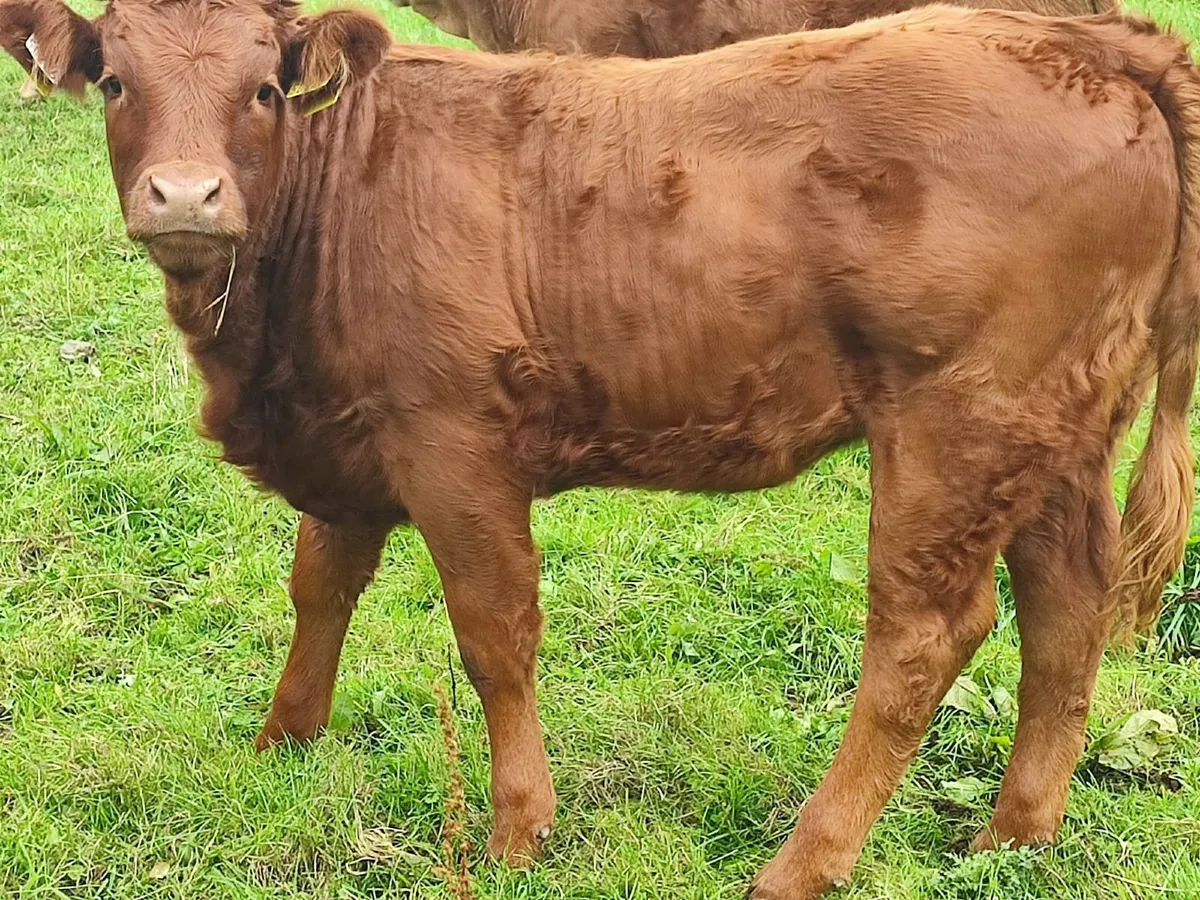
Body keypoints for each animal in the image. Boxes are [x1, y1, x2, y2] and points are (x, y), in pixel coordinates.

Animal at [1, 1, 1197, 896]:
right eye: (116, 84)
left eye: (262, 89)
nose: (186, 196)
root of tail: (1087, 38)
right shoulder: (346, 432)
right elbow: (319, 588)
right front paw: (281, 748)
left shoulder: (454, 447)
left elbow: (494, 636)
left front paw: (519, 828)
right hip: (1054, 429)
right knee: (1066, 610)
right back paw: (1016, 833)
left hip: (957, 426)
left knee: (925, 637)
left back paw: (801, 865)